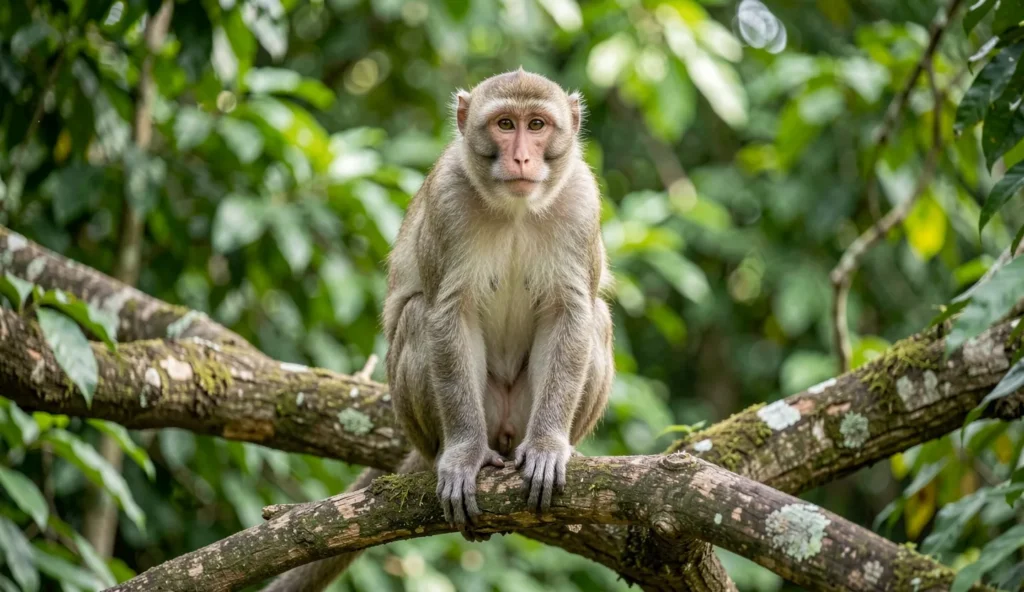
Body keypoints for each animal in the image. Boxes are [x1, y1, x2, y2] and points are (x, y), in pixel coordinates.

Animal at [263, 68, 614, 591]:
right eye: (505, 124)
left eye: (537, 124)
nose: (522, 157)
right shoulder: (448, 200)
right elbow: (447, 315)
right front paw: (464, 454)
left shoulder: (581, 202)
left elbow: (571, 313)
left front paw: (549, 445)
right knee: (416, 318)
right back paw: (452, 452)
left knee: (598, 318)